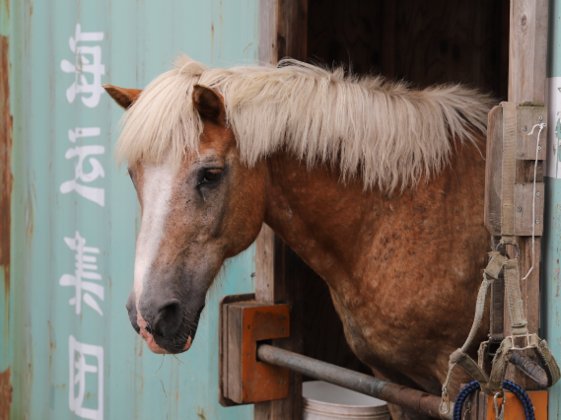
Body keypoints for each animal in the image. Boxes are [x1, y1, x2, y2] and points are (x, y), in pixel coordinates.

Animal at [105, 55, 494, 420]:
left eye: (211, 174)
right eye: (133, 174)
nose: (149, 317)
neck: (394, 213)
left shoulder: (458, 383)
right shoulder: (393, 382)